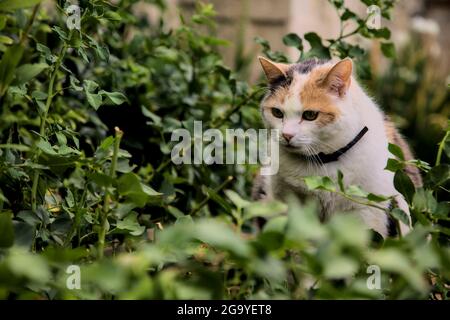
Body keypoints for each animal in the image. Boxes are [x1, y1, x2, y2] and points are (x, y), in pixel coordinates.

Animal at [253, 56, 422, 236]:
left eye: (310, 115)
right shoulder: (288, 203)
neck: (324, 162)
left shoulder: (366, 212)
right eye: (277, 113)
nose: (287, 135)